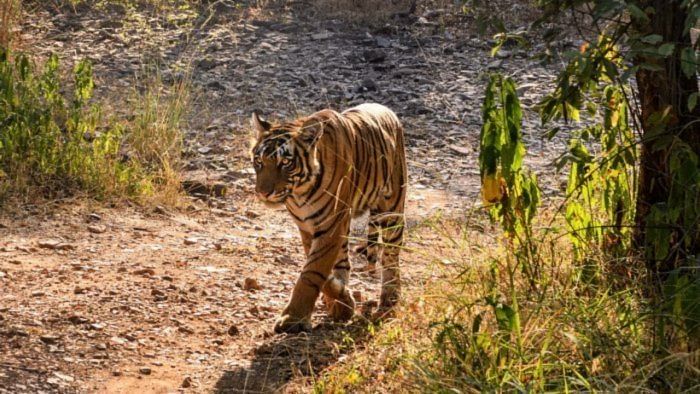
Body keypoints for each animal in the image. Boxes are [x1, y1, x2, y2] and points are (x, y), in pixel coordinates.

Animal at [250, 103, 404, 334]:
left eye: (285, 162)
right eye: (259, 161)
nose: (263, 193)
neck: (299, 193)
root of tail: (387, 110)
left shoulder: (330, 225)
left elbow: (312, 272)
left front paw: (293, 318)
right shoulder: (307, 227)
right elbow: (320, 270)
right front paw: (342, 302)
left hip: (392, 209)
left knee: (391, 257)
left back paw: (389, 299)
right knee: (344, 262)